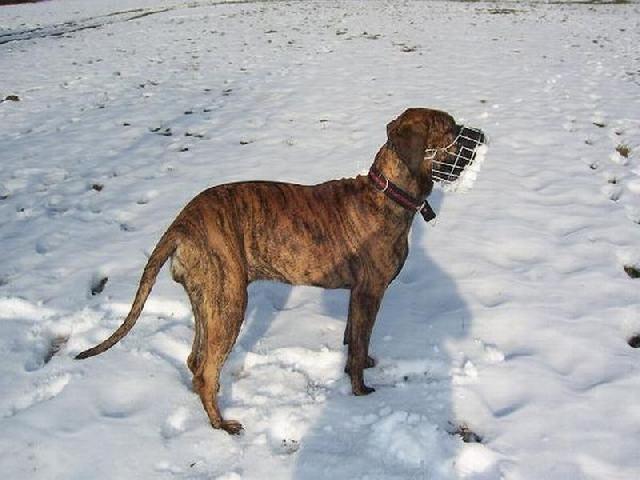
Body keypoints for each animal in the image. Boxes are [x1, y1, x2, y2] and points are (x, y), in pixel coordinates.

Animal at [75, 108, 484, 436]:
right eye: (450, 130)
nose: (481, 136)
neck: (388, 193)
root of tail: (181, 224)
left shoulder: (357, 297)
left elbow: (355, 338)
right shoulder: (370, 292)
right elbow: (359, 344)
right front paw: (360, 390)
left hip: (207, 301)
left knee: (196, 361)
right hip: (229, 302)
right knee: (206, 369)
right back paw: (221, 425)